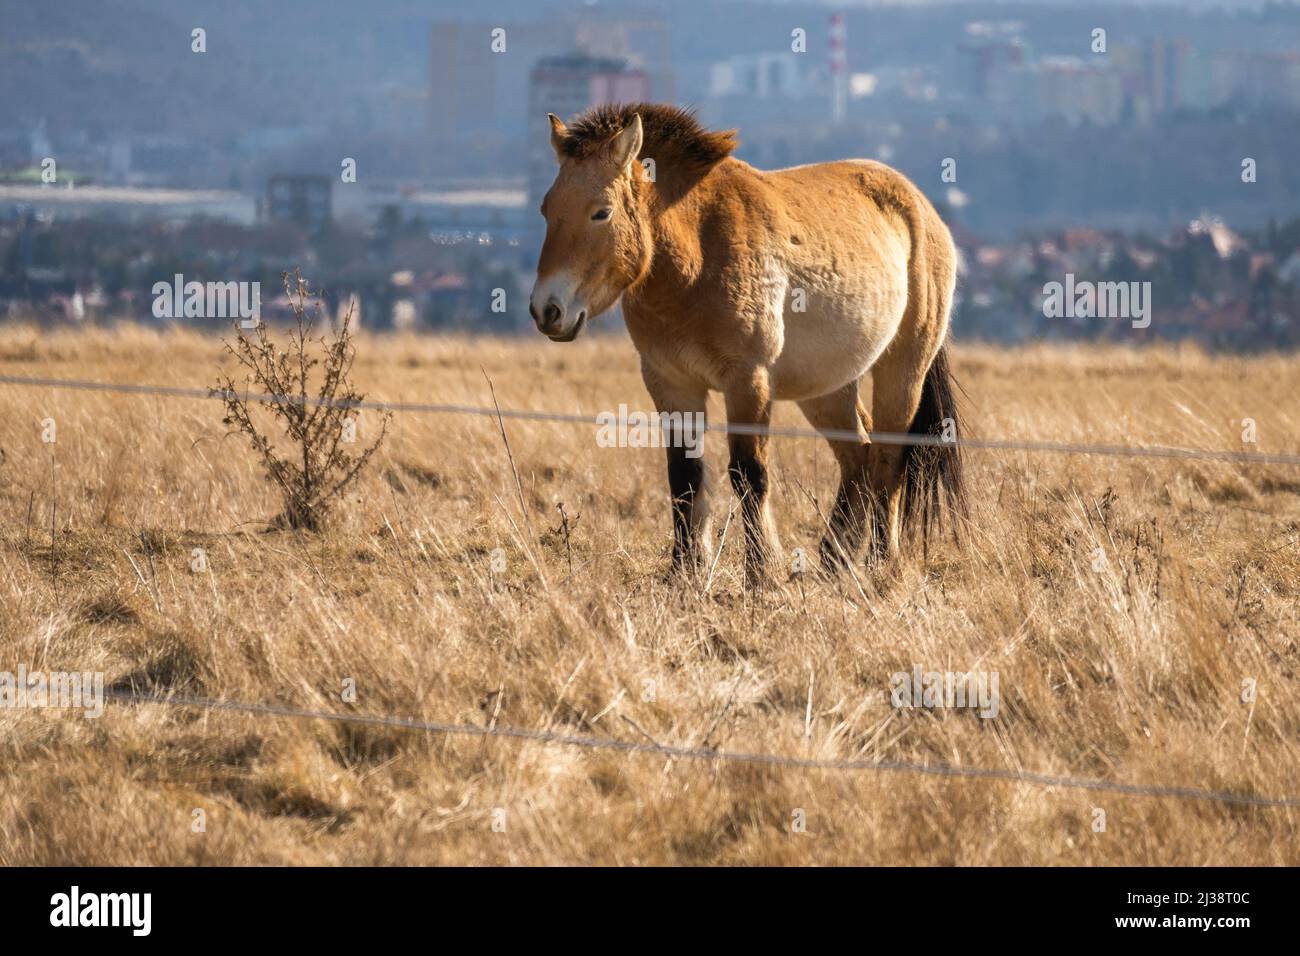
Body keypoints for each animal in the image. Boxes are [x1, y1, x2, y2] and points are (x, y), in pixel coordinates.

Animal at [530, 104, 967, 582]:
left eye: (601, 213)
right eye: (547, 209)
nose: (547, 310)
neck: (697, 252)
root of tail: (921, 207)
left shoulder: (748, 381)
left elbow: (749, 474)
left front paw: (761, 572)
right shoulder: (672, 384)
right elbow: (684, 478)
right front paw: (685, 572)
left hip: (902, 368)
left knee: (889, 458)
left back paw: (882, 561)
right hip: (828, 388)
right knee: (860, 454)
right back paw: (836, 557)